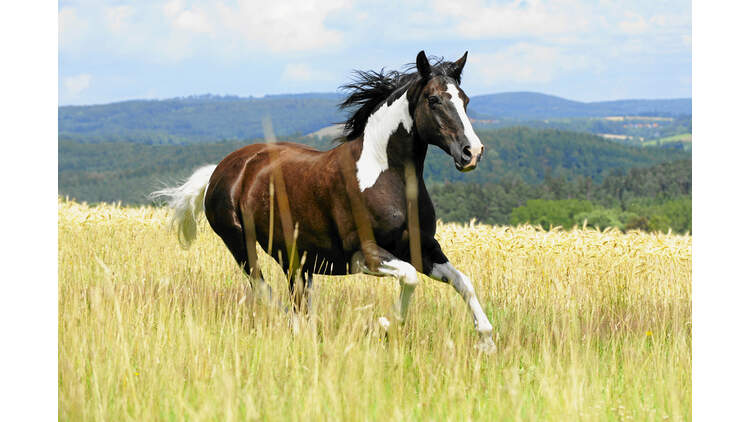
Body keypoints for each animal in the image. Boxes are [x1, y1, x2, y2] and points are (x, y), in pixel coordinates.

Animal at [151, 51, 500, 352]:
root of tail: (220, 171)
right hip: (241, 245)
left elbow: (463, 282)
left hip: (295, 258)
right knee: (265, 290)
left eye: (465, 100)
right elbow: (410, 278)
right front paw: (387, 324)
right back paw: (295, 328)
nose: (472, 152)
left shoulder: (423, 248)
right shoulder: (365, 254)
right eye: (434, 99)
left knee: (297, 297)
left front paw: (486, 342)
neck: (387, 176)